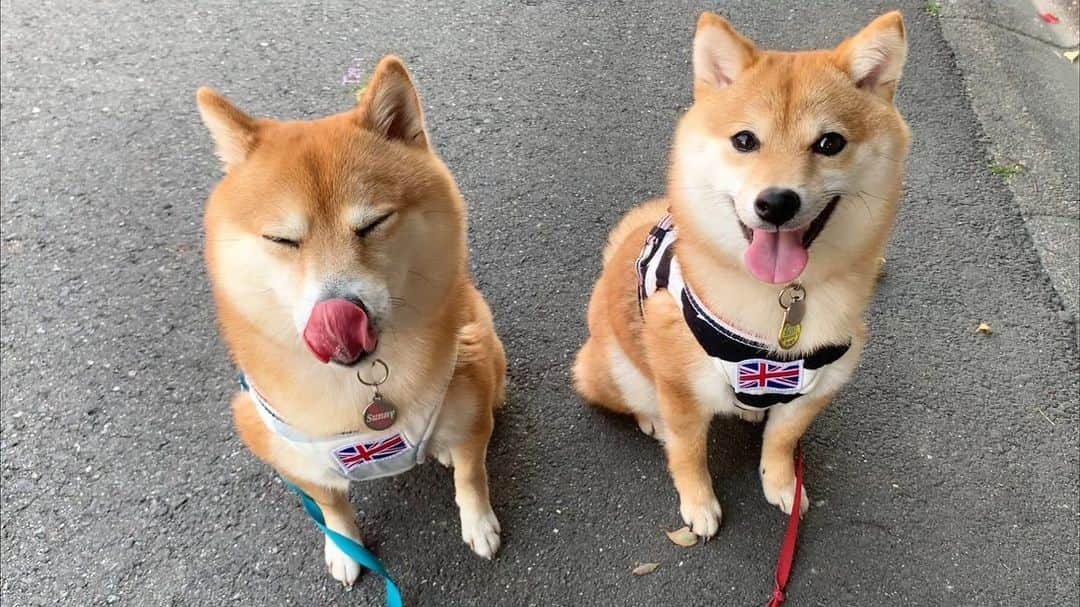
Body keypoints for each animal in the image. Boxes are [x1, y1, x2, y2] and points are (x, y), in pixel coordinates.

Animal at [199, 55, 509, 587]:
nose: (339, 313)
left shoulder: (470, 394)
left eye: (373, 224)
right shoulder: (293, 458)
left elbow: (472, 474)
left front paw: (479, 523)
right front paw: (345, 549)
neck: (363, 389)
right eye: (282, 240)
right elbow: (330, 506)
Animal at [574, 11, 911, 535]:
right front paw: (697, 504)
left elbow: (782, 443)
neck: (781, 302)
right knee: (635, 400)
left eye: (830, 143)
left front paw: (781, 484)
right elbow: (688, 454)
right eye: (745, 141)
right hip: (614, 368)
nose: (776, 201)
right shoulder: (682, 391)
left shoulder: (815, 387)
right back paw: (651, 419)